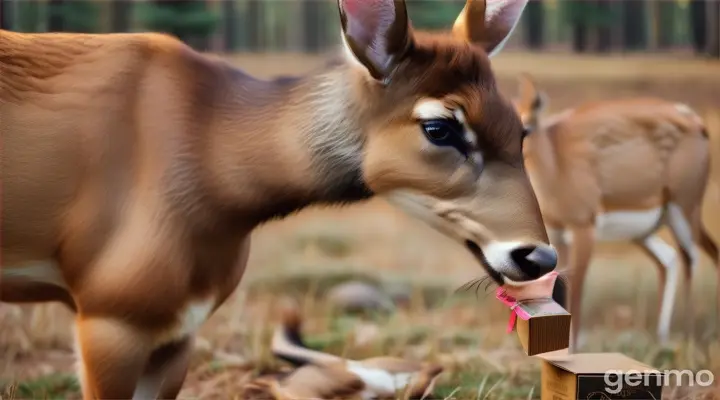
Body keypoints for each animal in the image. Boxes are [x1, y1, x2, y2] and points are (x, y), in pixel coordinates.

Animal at [512, 74, 720, 350]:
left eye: (526, 127)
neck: (556, 160)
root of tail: (694, 120)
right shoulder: (557, 236)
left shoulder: (584, 229)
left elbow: (577, 287)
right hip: (646, 231)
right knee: (672, 259)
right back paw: (662, 339)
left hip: (683, 213)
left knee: (691, 259)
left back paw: (688, 337)